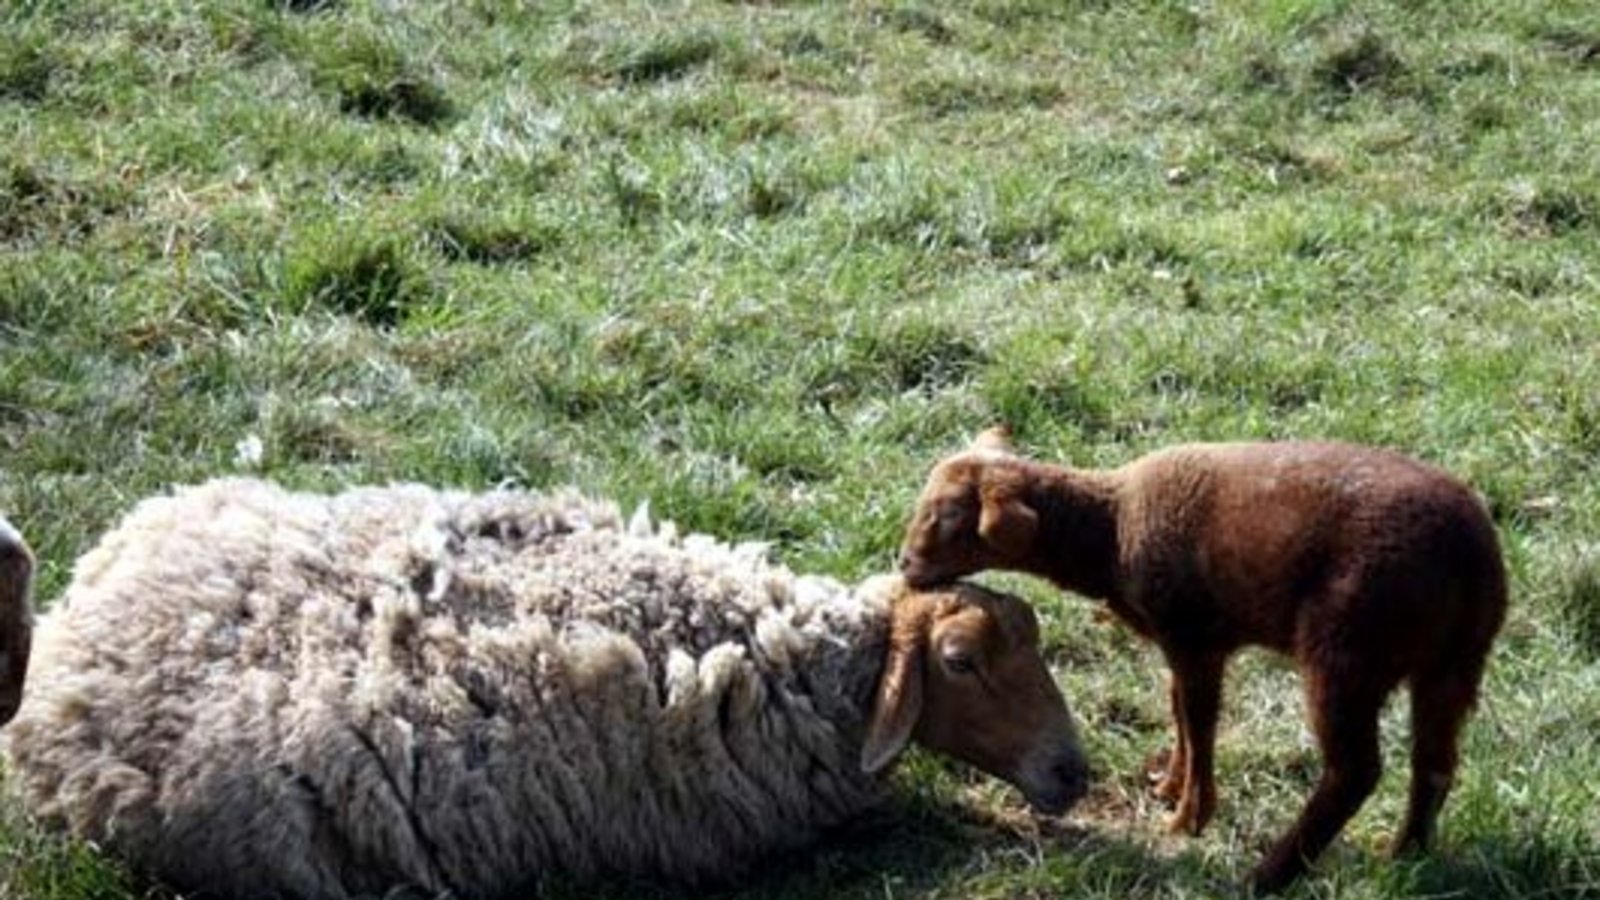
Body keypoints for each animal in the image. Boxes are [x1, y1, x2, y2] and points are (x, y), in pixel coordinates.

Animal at [897, 428, 1508, 893]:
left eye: (947, 514)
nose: (902, 564)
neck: (1110, 529)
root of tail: (1472, 555)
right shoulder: (1180, 643)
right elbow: (1178, 711)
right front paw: (1170, 786)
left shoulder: (1194, 635)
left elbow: (1199, 720)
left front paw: (1189, 817)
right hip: (1452, 662)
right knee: (1434, 762)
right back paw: (1407, 857)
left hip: (1347, 649)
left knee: (1355, 771)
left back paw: (1268, 876)